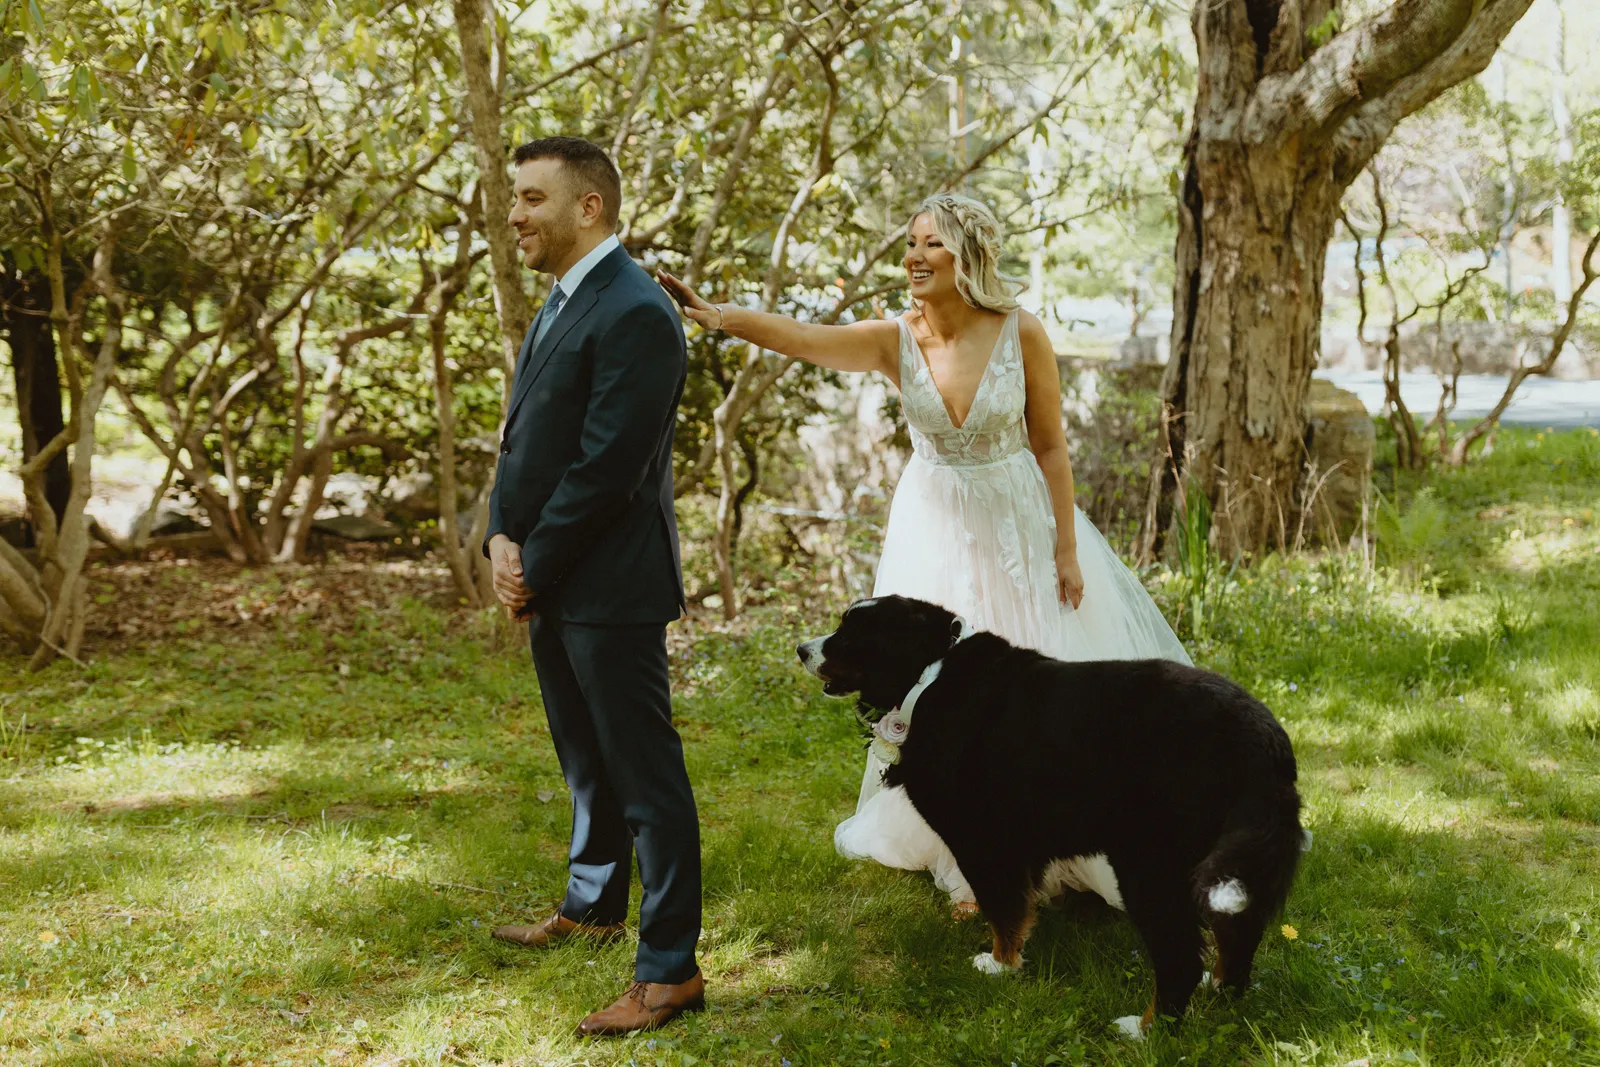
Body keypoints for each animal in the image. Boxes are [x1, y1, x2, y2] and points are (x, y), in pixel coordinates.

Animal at [793, 591, 1305, 1036]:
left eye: (849, 632)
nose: (801, 649)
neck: (927, 677)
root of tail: (1264, 739)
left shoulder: (982, 839)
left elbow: (1001, 909)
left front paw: (999, 965)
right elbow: (1019, 908)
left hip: (1148, 864)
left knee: (1179, 956)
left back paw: (1146, 1030)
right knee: (1239, 933)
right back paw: (1221, 992)